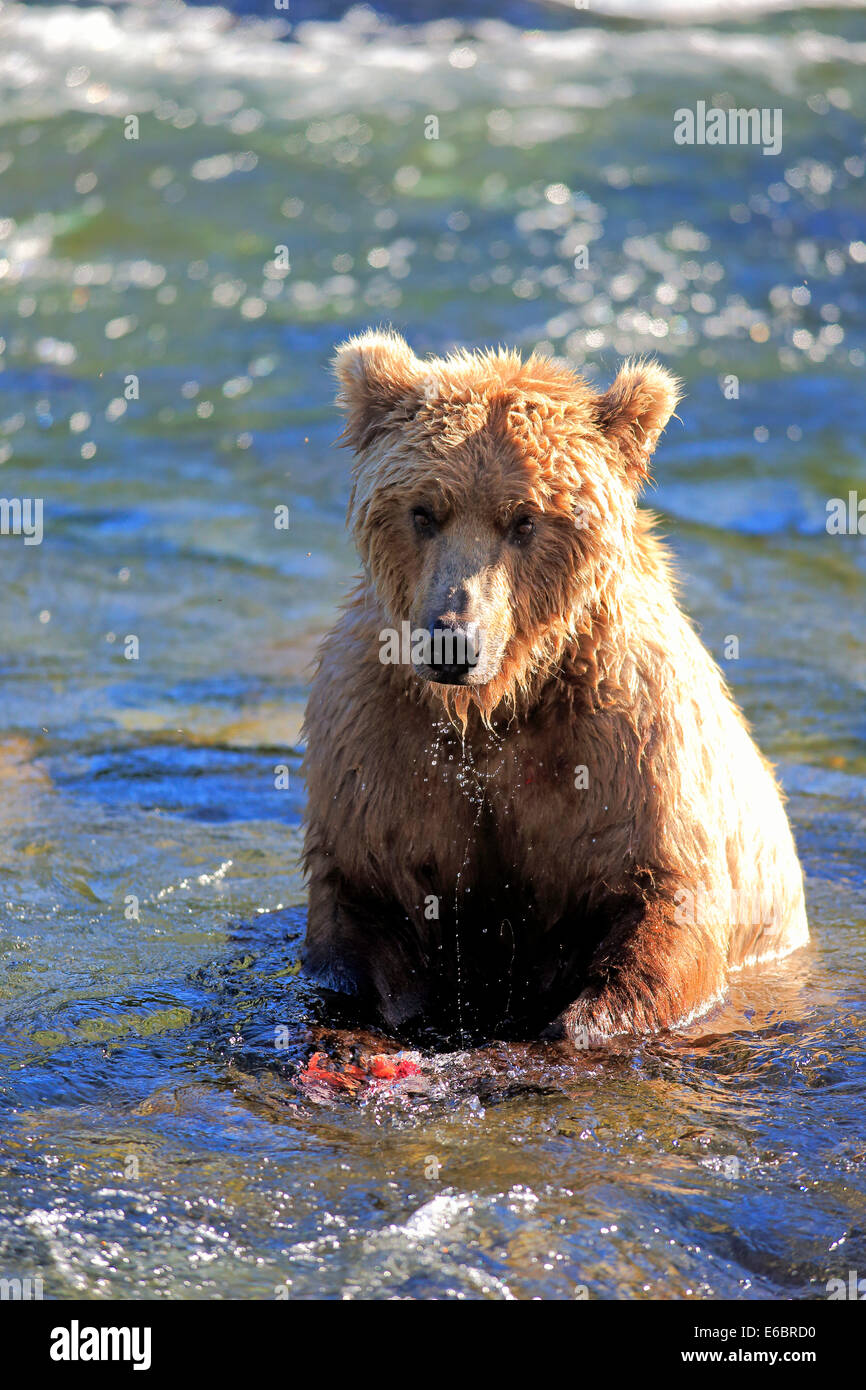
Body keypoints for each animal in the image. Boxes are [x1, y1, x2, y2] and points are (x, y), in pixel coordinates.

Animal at [301, 325, 811, 1045]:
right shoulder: (376, 737)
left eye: (525, 519)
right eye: (425, 511)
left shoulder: (626, 742)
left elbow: (668, 904)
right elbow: (365, 900)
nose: (452, 639)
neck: (500, 704)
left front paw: (582, 1021)